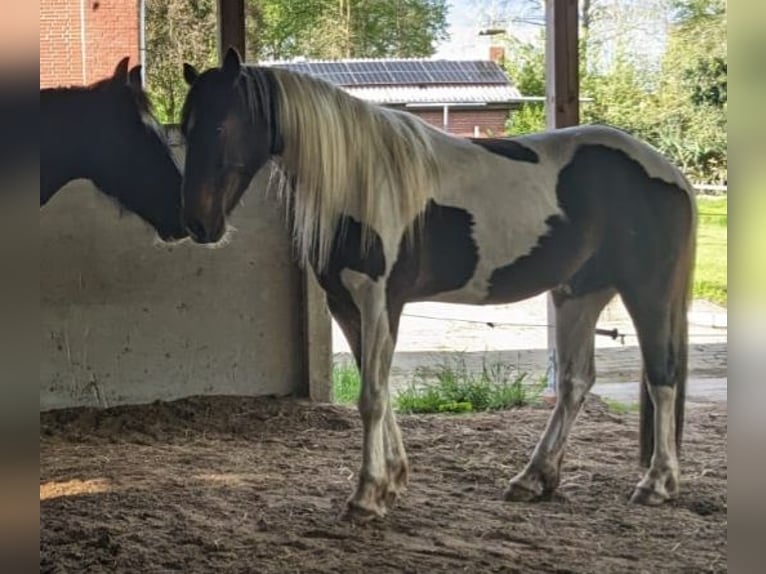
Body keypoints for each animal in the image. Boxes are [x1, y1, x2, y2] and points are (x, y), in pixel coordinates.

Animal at [183, 48, 700, 528]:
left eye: (221, 126)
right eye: (186, 128)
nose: (199, 224)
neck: (364, 182)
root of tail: (671, 172)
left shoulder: (379, 301)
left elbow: (371, 397)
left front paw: (367, 496)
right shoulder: (345, 305)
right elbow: (380, 389)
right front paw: (392, 480)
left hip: (647, 291)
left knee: (662, 377)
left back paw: (657, 484)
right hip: (580, 292)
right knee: (576, 382)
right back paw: (534, 478)